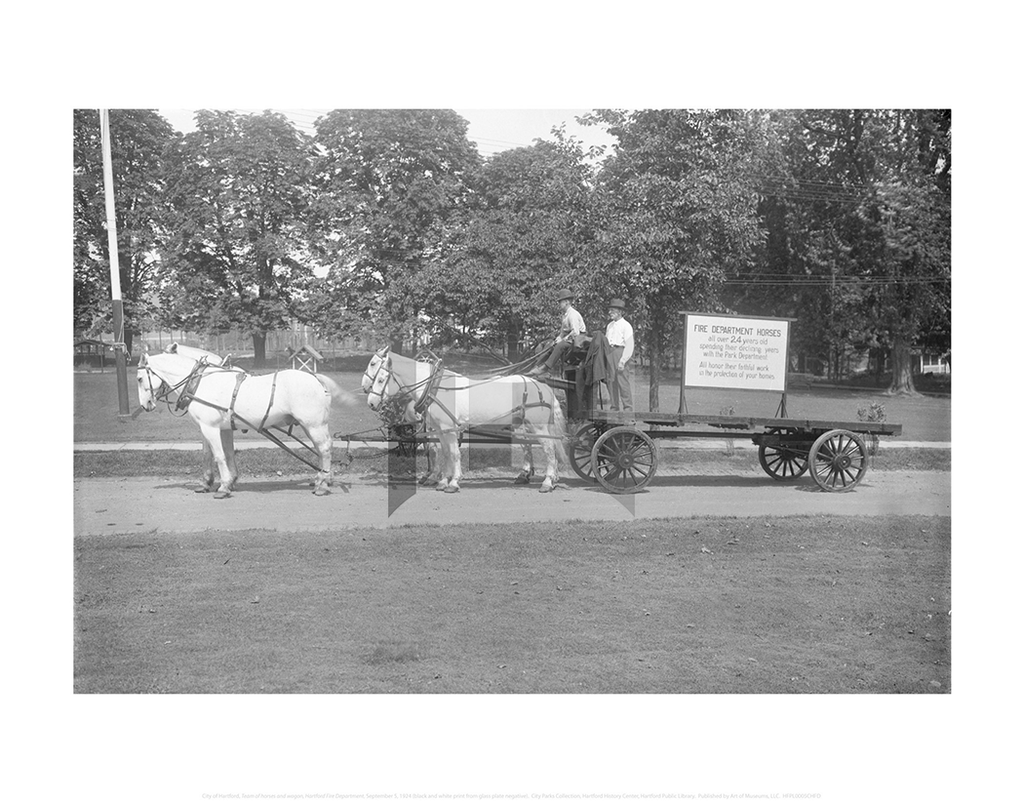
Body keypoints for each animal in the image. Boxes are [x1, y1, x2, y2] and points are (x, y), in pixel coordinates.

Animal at [136, 346, 346, 495]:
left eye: (139, 378)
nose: (145, 405)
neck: (201, 382)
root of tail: (316, 378)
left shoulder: (209, 427)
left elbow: (218, 455)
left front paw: (222, 487)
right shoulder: (223, 428)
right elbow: (223, 454)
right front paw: (223, 482)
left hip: (314, 425)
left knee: (324, 449)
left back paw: (323, 485)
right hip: (312, 426)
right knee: (321, 450)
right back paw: (321, 479)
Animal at [364, 348, 569, 491]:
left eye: (380, 379)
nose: (371, 402)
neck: (434, 387)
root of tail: (542, 385)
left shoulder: (448, 428)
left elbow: (453, 453)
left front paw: (453, 482)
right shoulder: (440, 430)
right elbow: (445, 453)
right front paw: (442, 481)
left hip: (540, 427)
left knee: (550, 450)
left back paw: (548, 482)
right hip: (521, 424)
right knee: (533, 447)